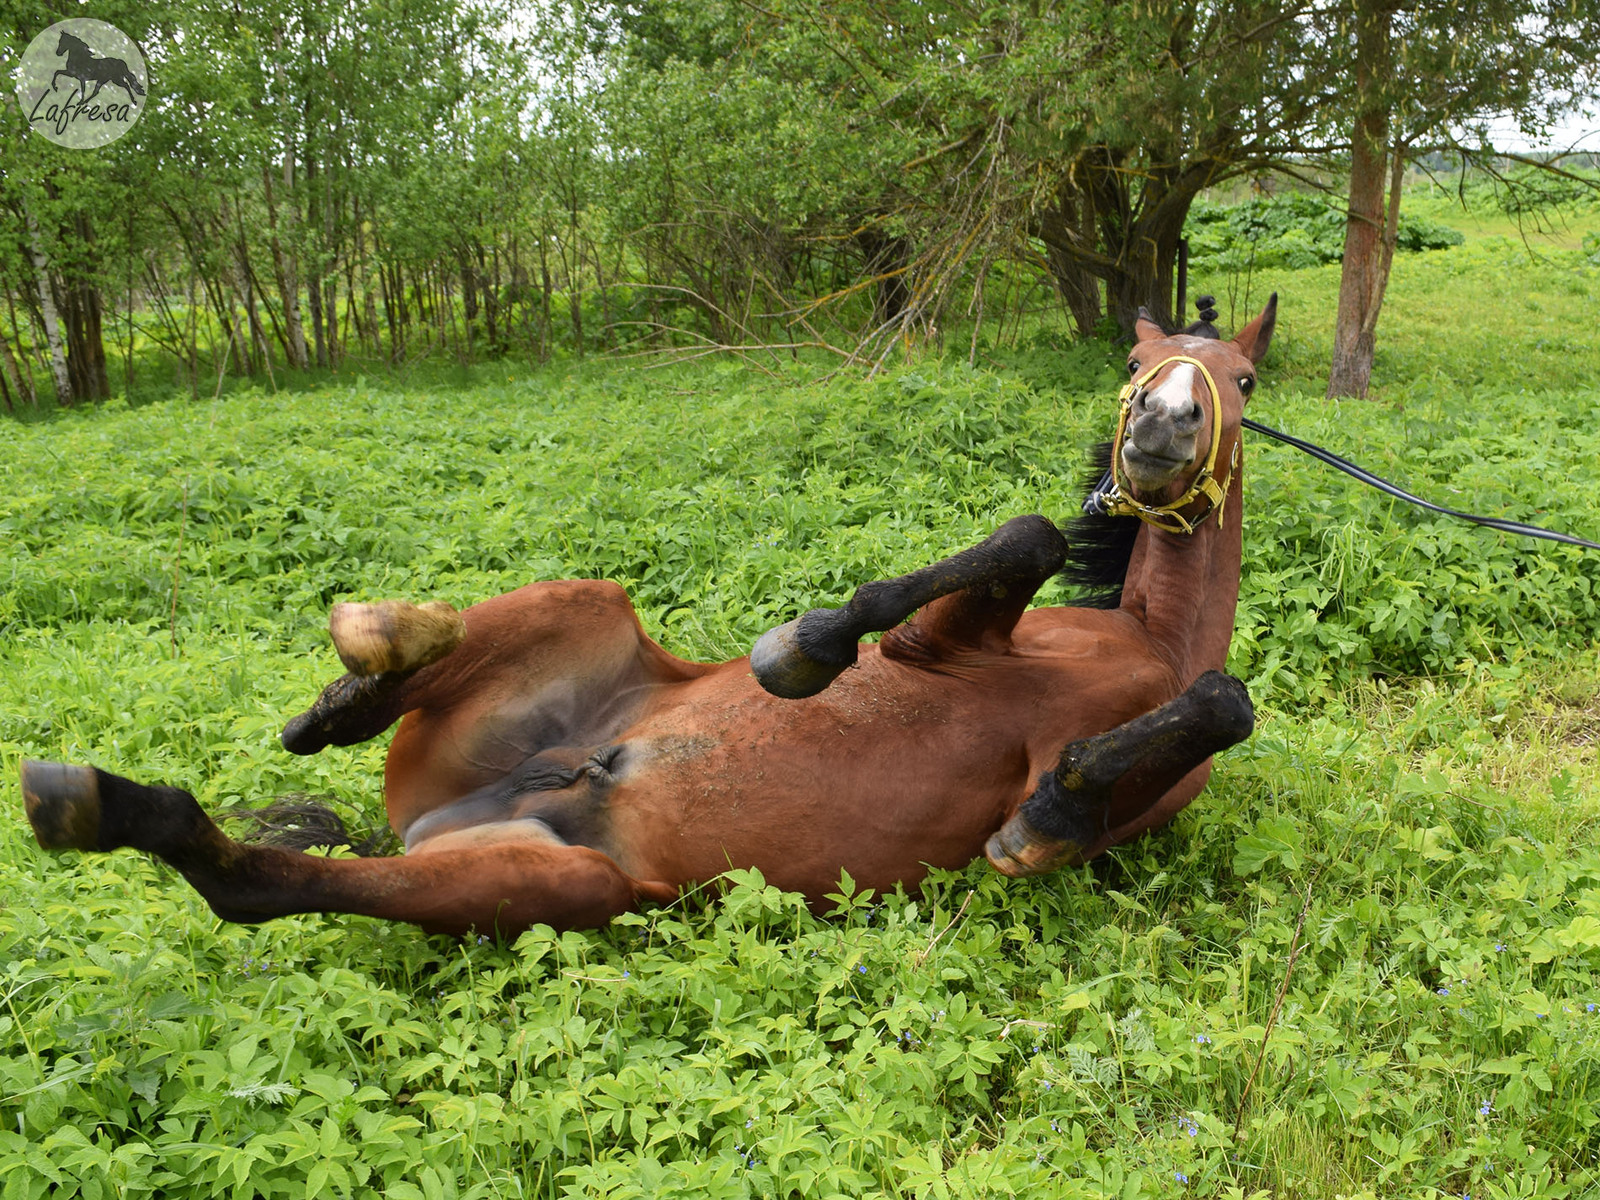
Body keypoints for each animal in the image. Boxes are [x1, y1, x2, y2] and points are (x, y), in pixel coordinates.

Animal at [18, 299, 1273, 940]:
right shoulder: (947, 641)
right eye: (1134, 358)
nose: (1158, 429)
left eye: (1241, 380)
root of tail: (441, 819)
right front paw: (803, 649)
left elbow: (1217, 708)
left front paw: (1056, 804)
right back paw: (357, 672)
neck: (1152, 642)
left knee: (259, 885)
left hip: (558, 886)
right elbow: (1028, 537)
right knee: (397, 685)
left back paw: (100, 804)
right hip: (587, 611)